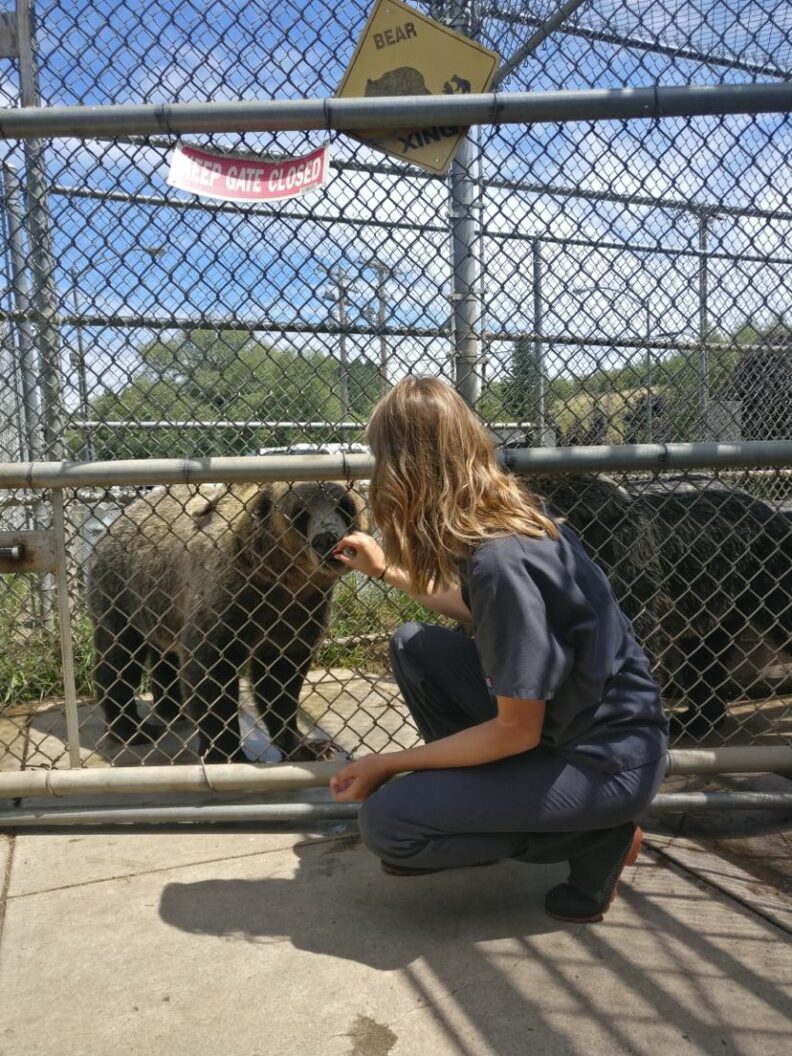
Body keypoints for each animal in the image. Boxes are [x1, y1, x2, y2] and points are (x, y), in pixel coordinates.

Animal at [87, 480, 367, 762]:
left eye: (344, 505)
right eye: (300, 513)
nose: (326, 538)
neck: (282, 580)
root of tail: (115, 523)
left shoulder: (302, 608)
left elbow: (280, 678)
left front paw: (309, 746)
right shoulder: (230, 594)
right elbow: (211, 668)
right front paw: (227, 753)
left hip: (161, 603)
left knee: (164, 653)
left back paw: (173, 708)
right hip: (122, 589)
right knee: (119, 656)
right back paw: (132, 729)